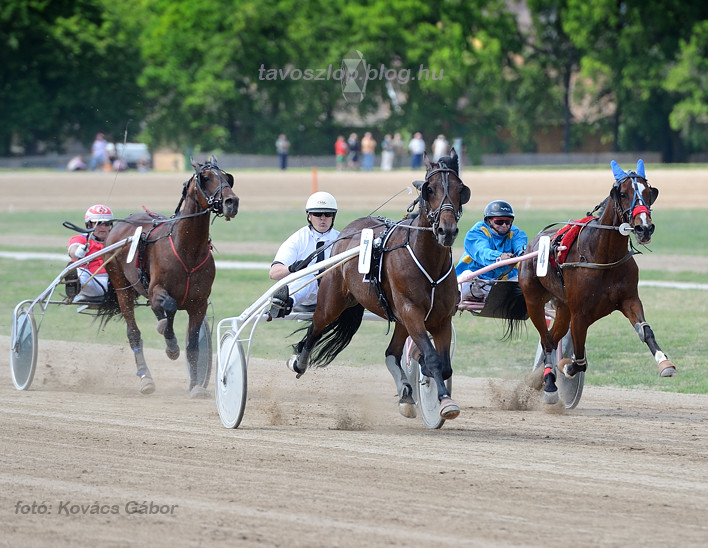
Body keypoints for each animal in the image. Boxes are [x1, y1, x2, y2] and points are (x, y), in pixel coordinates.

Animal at [98, 156, 239, 396]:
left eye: (227, 177)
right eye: (205, 177)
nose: (232, 201)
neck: (188, 250)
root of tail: (122, 224)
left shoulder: (199, 303)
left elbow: (193, 344)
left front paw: (195, 385)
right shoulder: (157, 290)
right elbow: (170, 306)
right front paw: (171, 345)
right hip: (122, 287)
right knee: (134, 332)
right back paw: (146, 378)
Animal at [284, 150, 472, 420]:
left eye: (461, 189)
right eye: (430, 189)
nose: (446, 230)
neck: (428, 261)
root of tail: (349, 231)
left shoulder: (440, 318)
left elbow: (443, 365)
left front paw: (435, 390)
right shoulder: (411, 311)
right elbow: (433, 359)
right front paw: (445, 400)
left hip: (399, 318)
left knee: (391, 353)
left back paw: (406, 393)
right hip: (333, 300)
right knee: (316, 327)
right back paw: (299, 361)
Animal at [520, 161, 676, 404]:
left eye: (648, 193)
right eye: (623, 193)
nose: (644, 228)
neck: (602, 255)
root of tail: (534, 243)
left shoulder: (629, 299)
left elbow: (645, 331)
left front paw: (664, 362)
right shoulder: (580, 314)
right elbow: (579, 360)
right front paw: (566, 368)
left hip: (563, 307)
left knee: (553, 339)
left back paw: (542, 379)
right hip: (534, 301)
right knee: (546, 341)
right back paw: (550, 385)